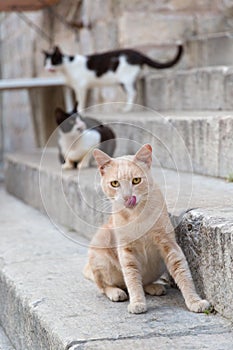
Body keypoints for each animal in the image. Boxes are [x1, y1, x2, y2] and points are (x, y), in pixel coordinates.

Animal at [43, 44, 182, 111]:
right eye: (45, 62)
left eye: (53, 61)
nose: (47, 68)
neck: (66, 67)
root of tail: (139, 54)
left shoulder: (81, 87)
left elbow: (80, 101)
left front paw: (80, 111)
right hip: (127, 81)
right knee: (135, 91)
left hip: (126, 80)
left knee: (133, 92)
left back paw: (128, 108)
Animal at [84, 144, 211, 314]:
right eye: (115, 184)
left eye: (136, 180)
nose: (127, 197)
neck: (137, 215)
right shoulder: (126, 251)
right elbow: (132, 278)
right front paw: (137, 302)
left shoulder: (169, 245)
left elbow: (182, 273)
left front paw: (194, 301)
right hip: (100, 248)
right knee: (103, 286)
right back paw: (116, 292)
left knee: (143, 282)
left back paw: (153, 287)